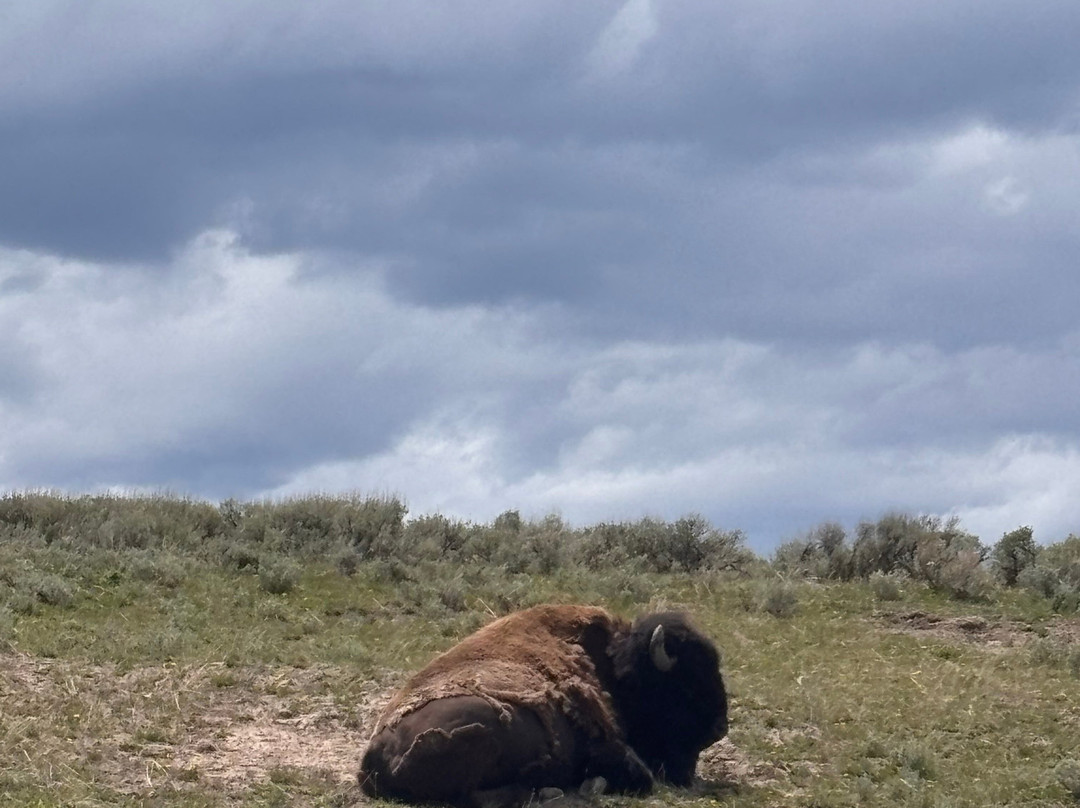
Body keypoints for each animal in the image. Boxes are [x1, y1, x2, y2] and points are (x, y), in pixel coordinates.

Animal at [359, 604, 727, 805]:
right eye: (685, 687)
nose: (719, 728)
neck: (611, 664)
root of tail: (373, 757)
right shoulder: (606, 744)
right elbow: (639, 775)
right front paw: (593, 784)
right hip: (478, 726)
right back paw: (546, 790)